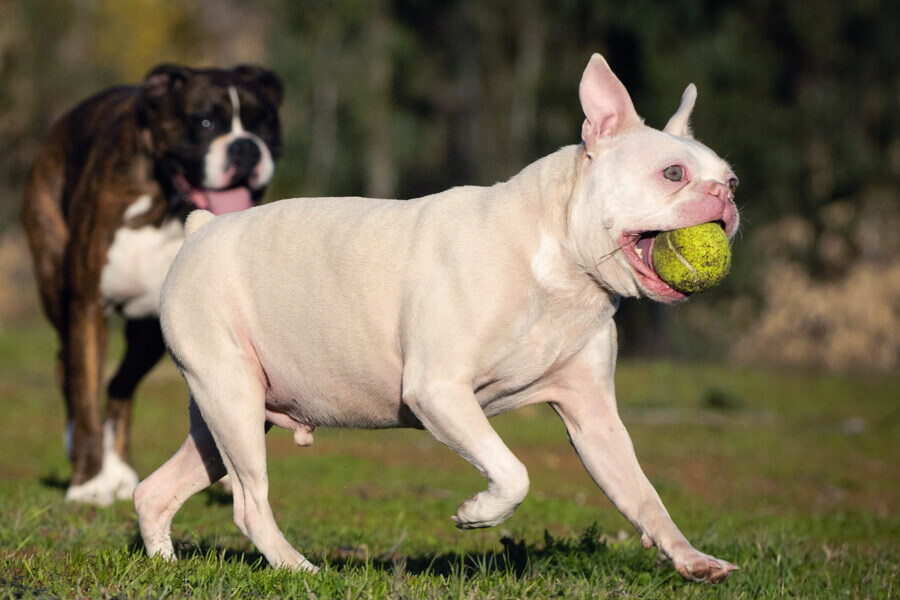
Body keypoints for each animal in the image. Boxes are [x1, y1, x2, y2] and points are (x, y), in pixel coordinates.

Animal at [134, 54, 740, 584]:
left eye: (731, 179)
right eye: (672, 173)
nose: (725, 196)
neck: (560, 265)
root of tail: (200, 229)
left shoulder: (595, 421)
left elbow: (643, 496)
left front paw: (692, 560)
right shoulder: (440, 392)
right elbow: (513, 472)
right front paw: (478, 513)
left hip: (226, 415)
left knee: (155, 491)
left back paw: (165, 564)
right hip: (232, 398)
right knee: (249, 503)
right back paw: (298, 568)